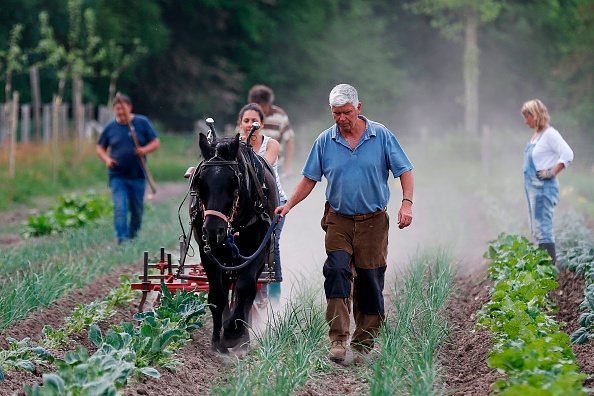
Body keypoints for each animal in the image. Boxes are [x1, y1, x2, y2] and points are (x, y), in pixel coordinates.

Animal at [186, 133, 278, 352]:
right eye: (200, 180)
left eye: (233, 180)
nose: (213, 230)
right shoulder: (208, 252)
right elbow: (217, 296)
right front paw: (217, 343)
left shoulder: (258, 250)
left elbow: (245, 289)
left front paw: (234, 333)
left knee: (249, 292)